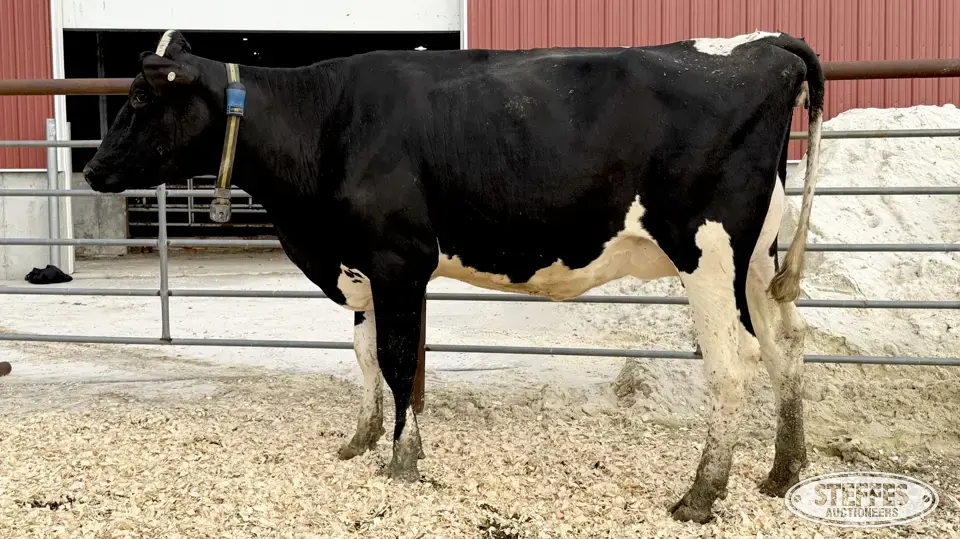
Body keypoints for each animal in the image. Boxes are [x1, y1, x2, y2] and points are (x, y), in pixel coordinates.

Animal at [82, 29, 824, 523]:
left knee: (732, 362)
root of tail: (763, 44)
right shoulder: (363, 265)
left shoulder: (397, 260)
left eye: (141, 97)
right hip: (757, 258)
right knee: (786, 347)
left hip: (709, 251)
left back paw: (701, 493)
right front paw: (360, 440)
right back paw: (781, 472)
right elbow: (364, 353)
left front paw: (404, 459)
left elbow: (396, 357)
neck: (323, 122)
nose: (91, 169)